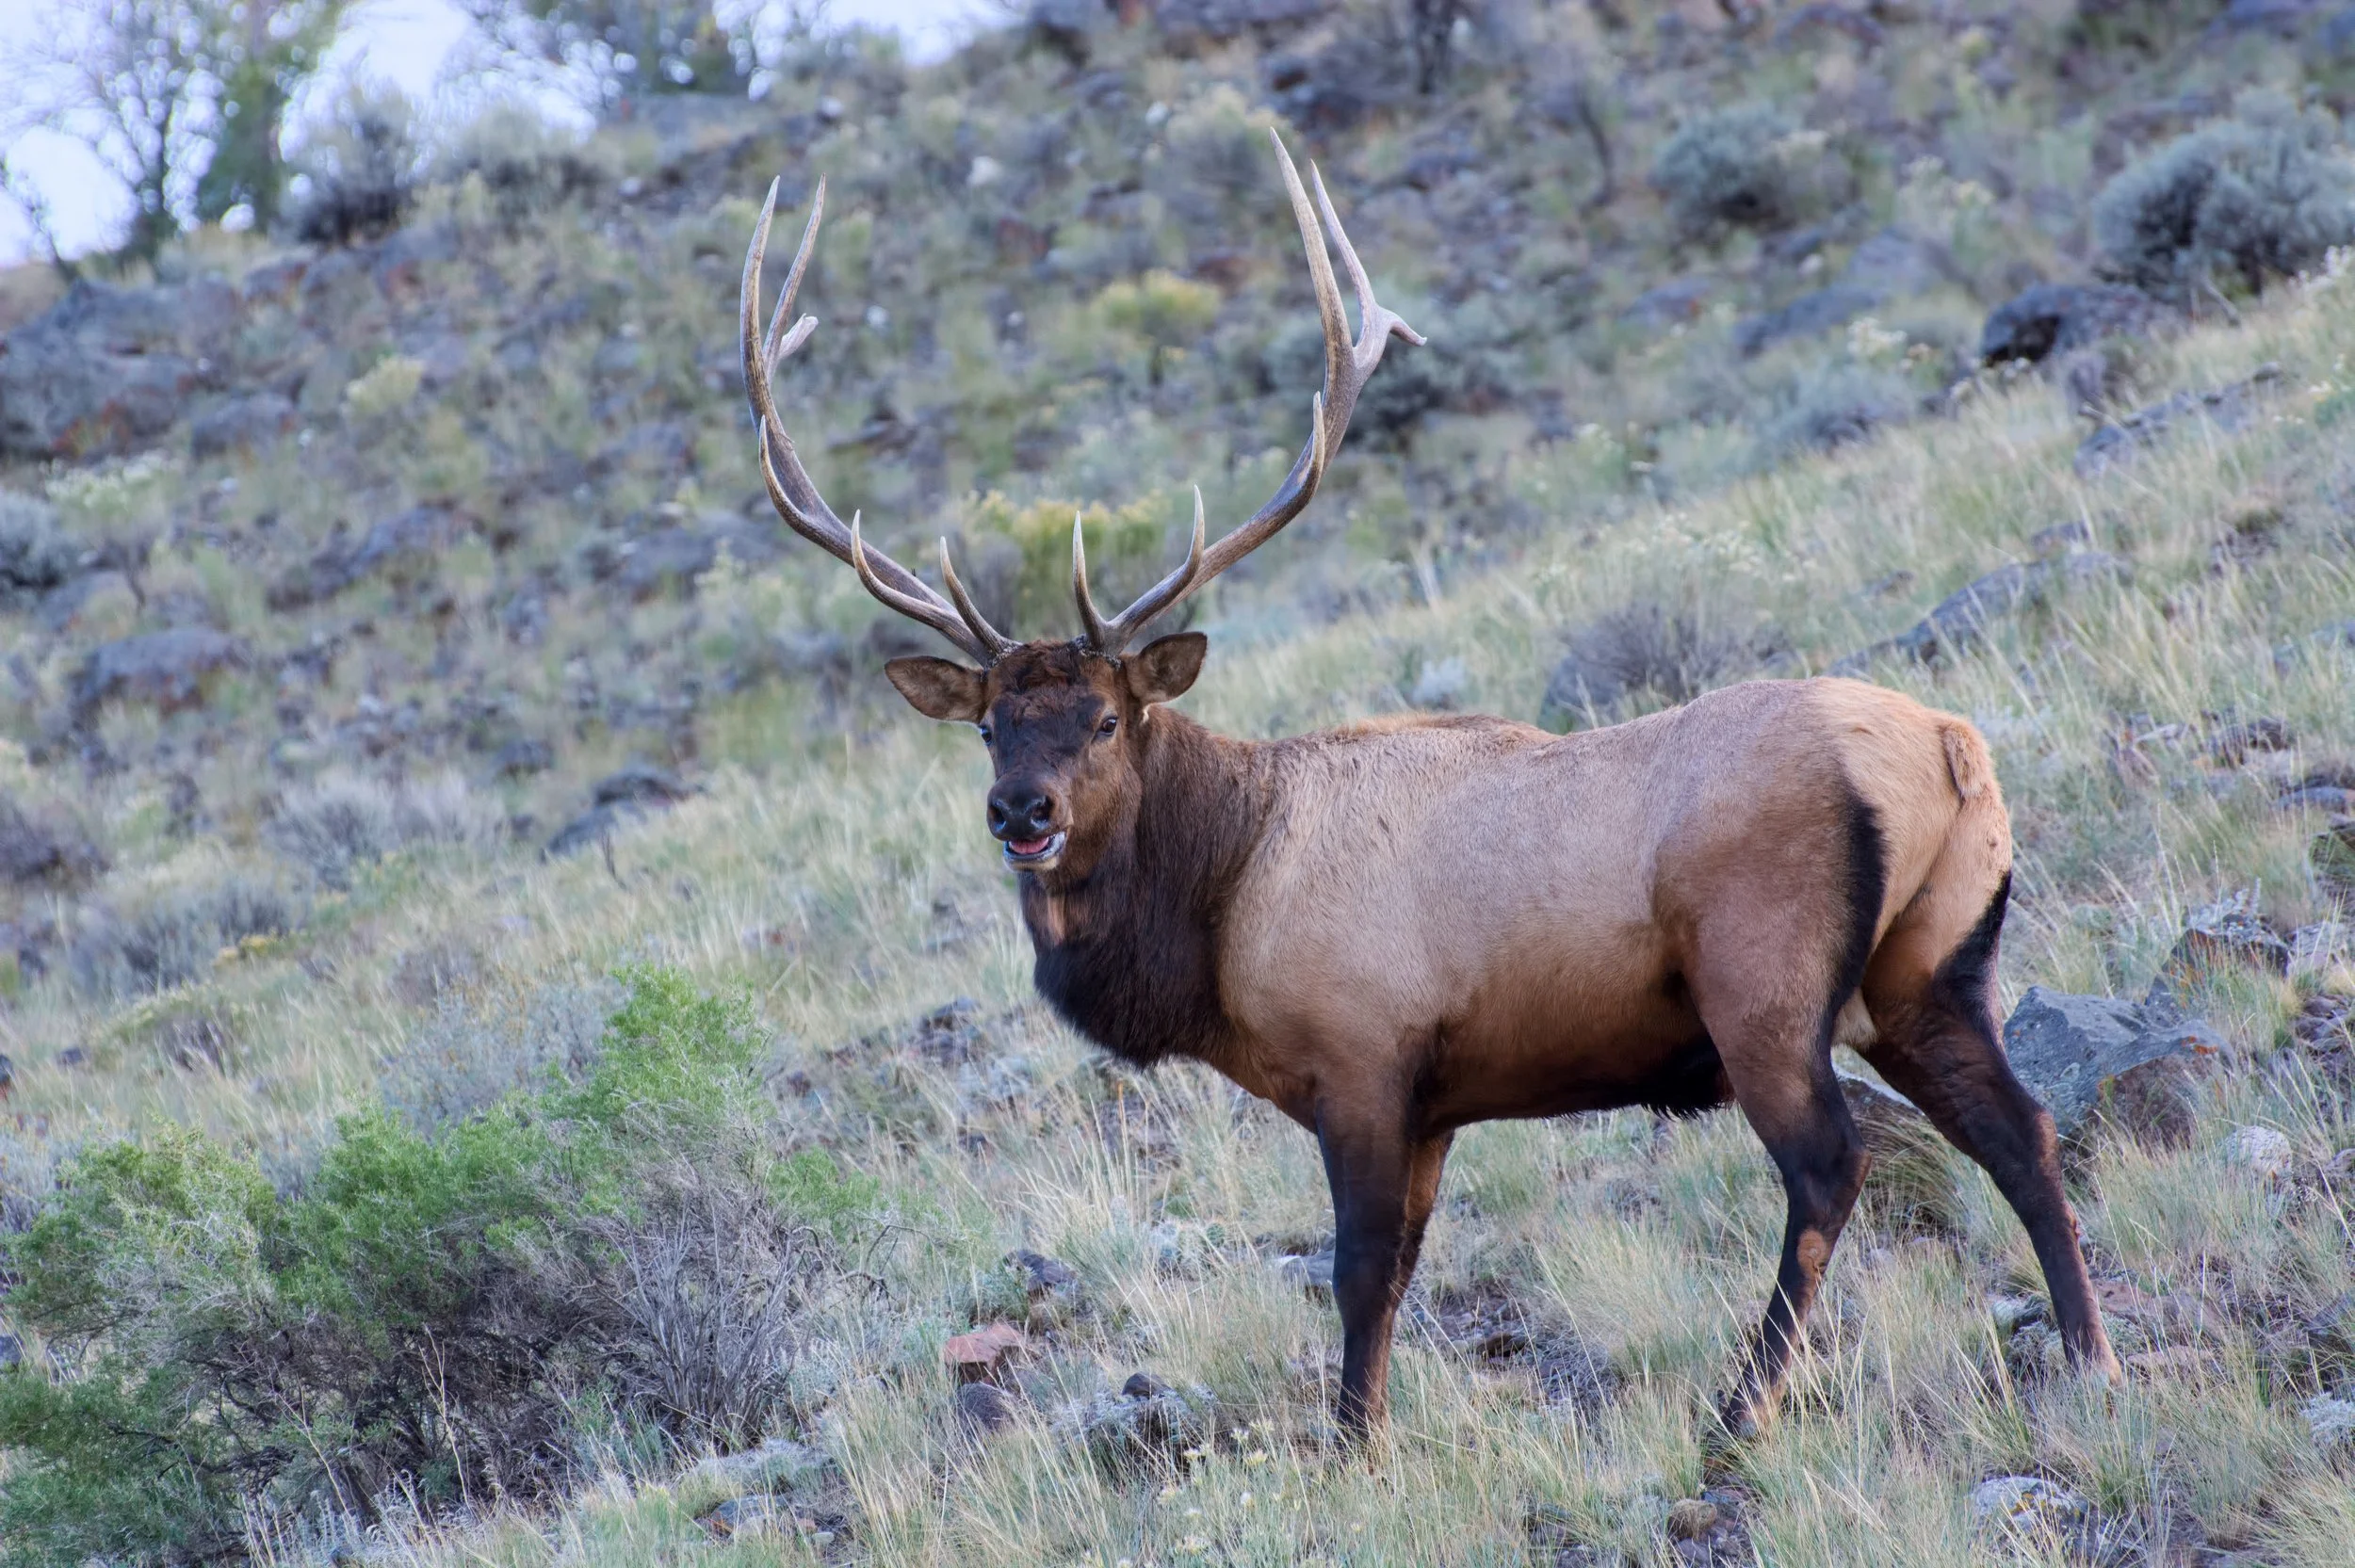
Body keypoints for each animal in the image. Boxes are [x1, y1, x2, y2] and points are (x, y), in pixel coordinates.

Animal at [736, 134, 2123, 1438]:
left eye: (1107, 717)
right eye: (988, 728)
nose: (1021, 812)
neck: (1218, 910)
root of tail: (1948, 746)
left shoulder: (1360, 1060)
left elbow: (1358, 1273)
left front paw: (1355, 1446)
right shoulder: (1441, 1101)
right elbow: (1401, 1271)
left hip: (1765, 980)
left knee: (1834, 1164)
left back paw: (1744, 1407)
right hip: (1930, 966)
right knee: (2020, 1127)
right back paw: (2090, 1356)